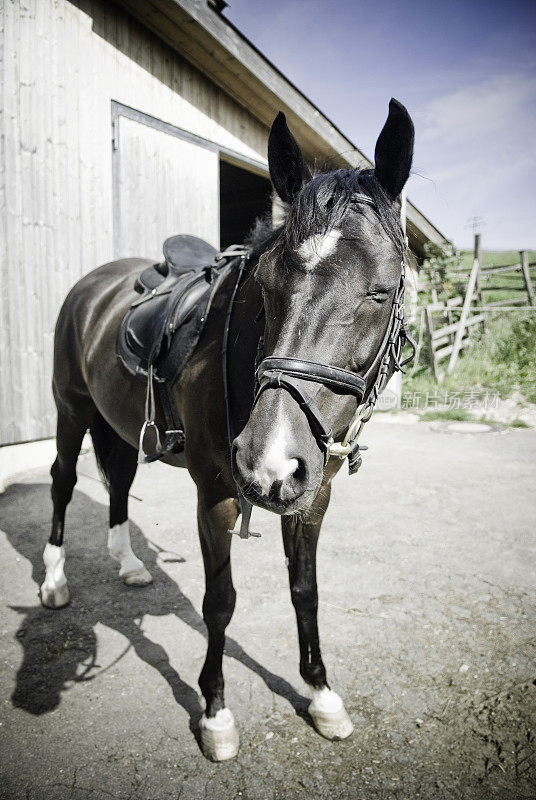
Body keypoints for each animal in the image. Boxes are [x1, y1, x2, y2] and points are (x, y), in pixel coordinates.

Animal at [44, 98, 416, 756]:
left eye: (380, 290)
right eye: (267, 286)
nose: (270, 463)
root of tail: (91, 286)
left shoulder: (314, 495)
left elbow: (305, 592)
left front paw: (322, 695)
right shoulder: (215, 492)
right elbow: (219, 603)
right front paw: (215, 713)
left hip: (118, 426)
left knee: (118, 483)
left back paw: (129, 564)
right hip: (72, 408)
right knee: (63, 480)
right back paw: (55, 581)